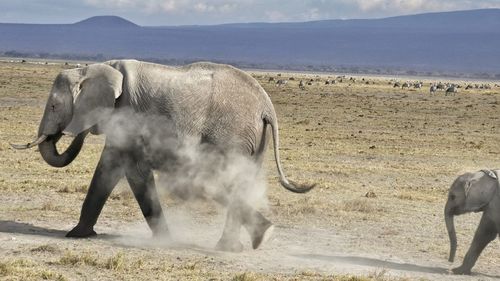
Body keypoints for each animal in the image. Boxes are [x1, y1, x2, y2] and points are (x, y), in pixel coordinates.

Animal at [13, 59, 314, 252]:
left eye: (54, 105)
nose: (65, 132)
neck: (97, 67)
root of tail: (267, 106)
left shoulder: (129, 114)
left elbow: (133, 171)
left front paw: (164, 241)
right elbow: (108, 170)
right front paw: (78, 234)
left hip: (233, 134)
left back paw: (245, 241)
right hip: (253, 139)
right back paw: (247, 242)